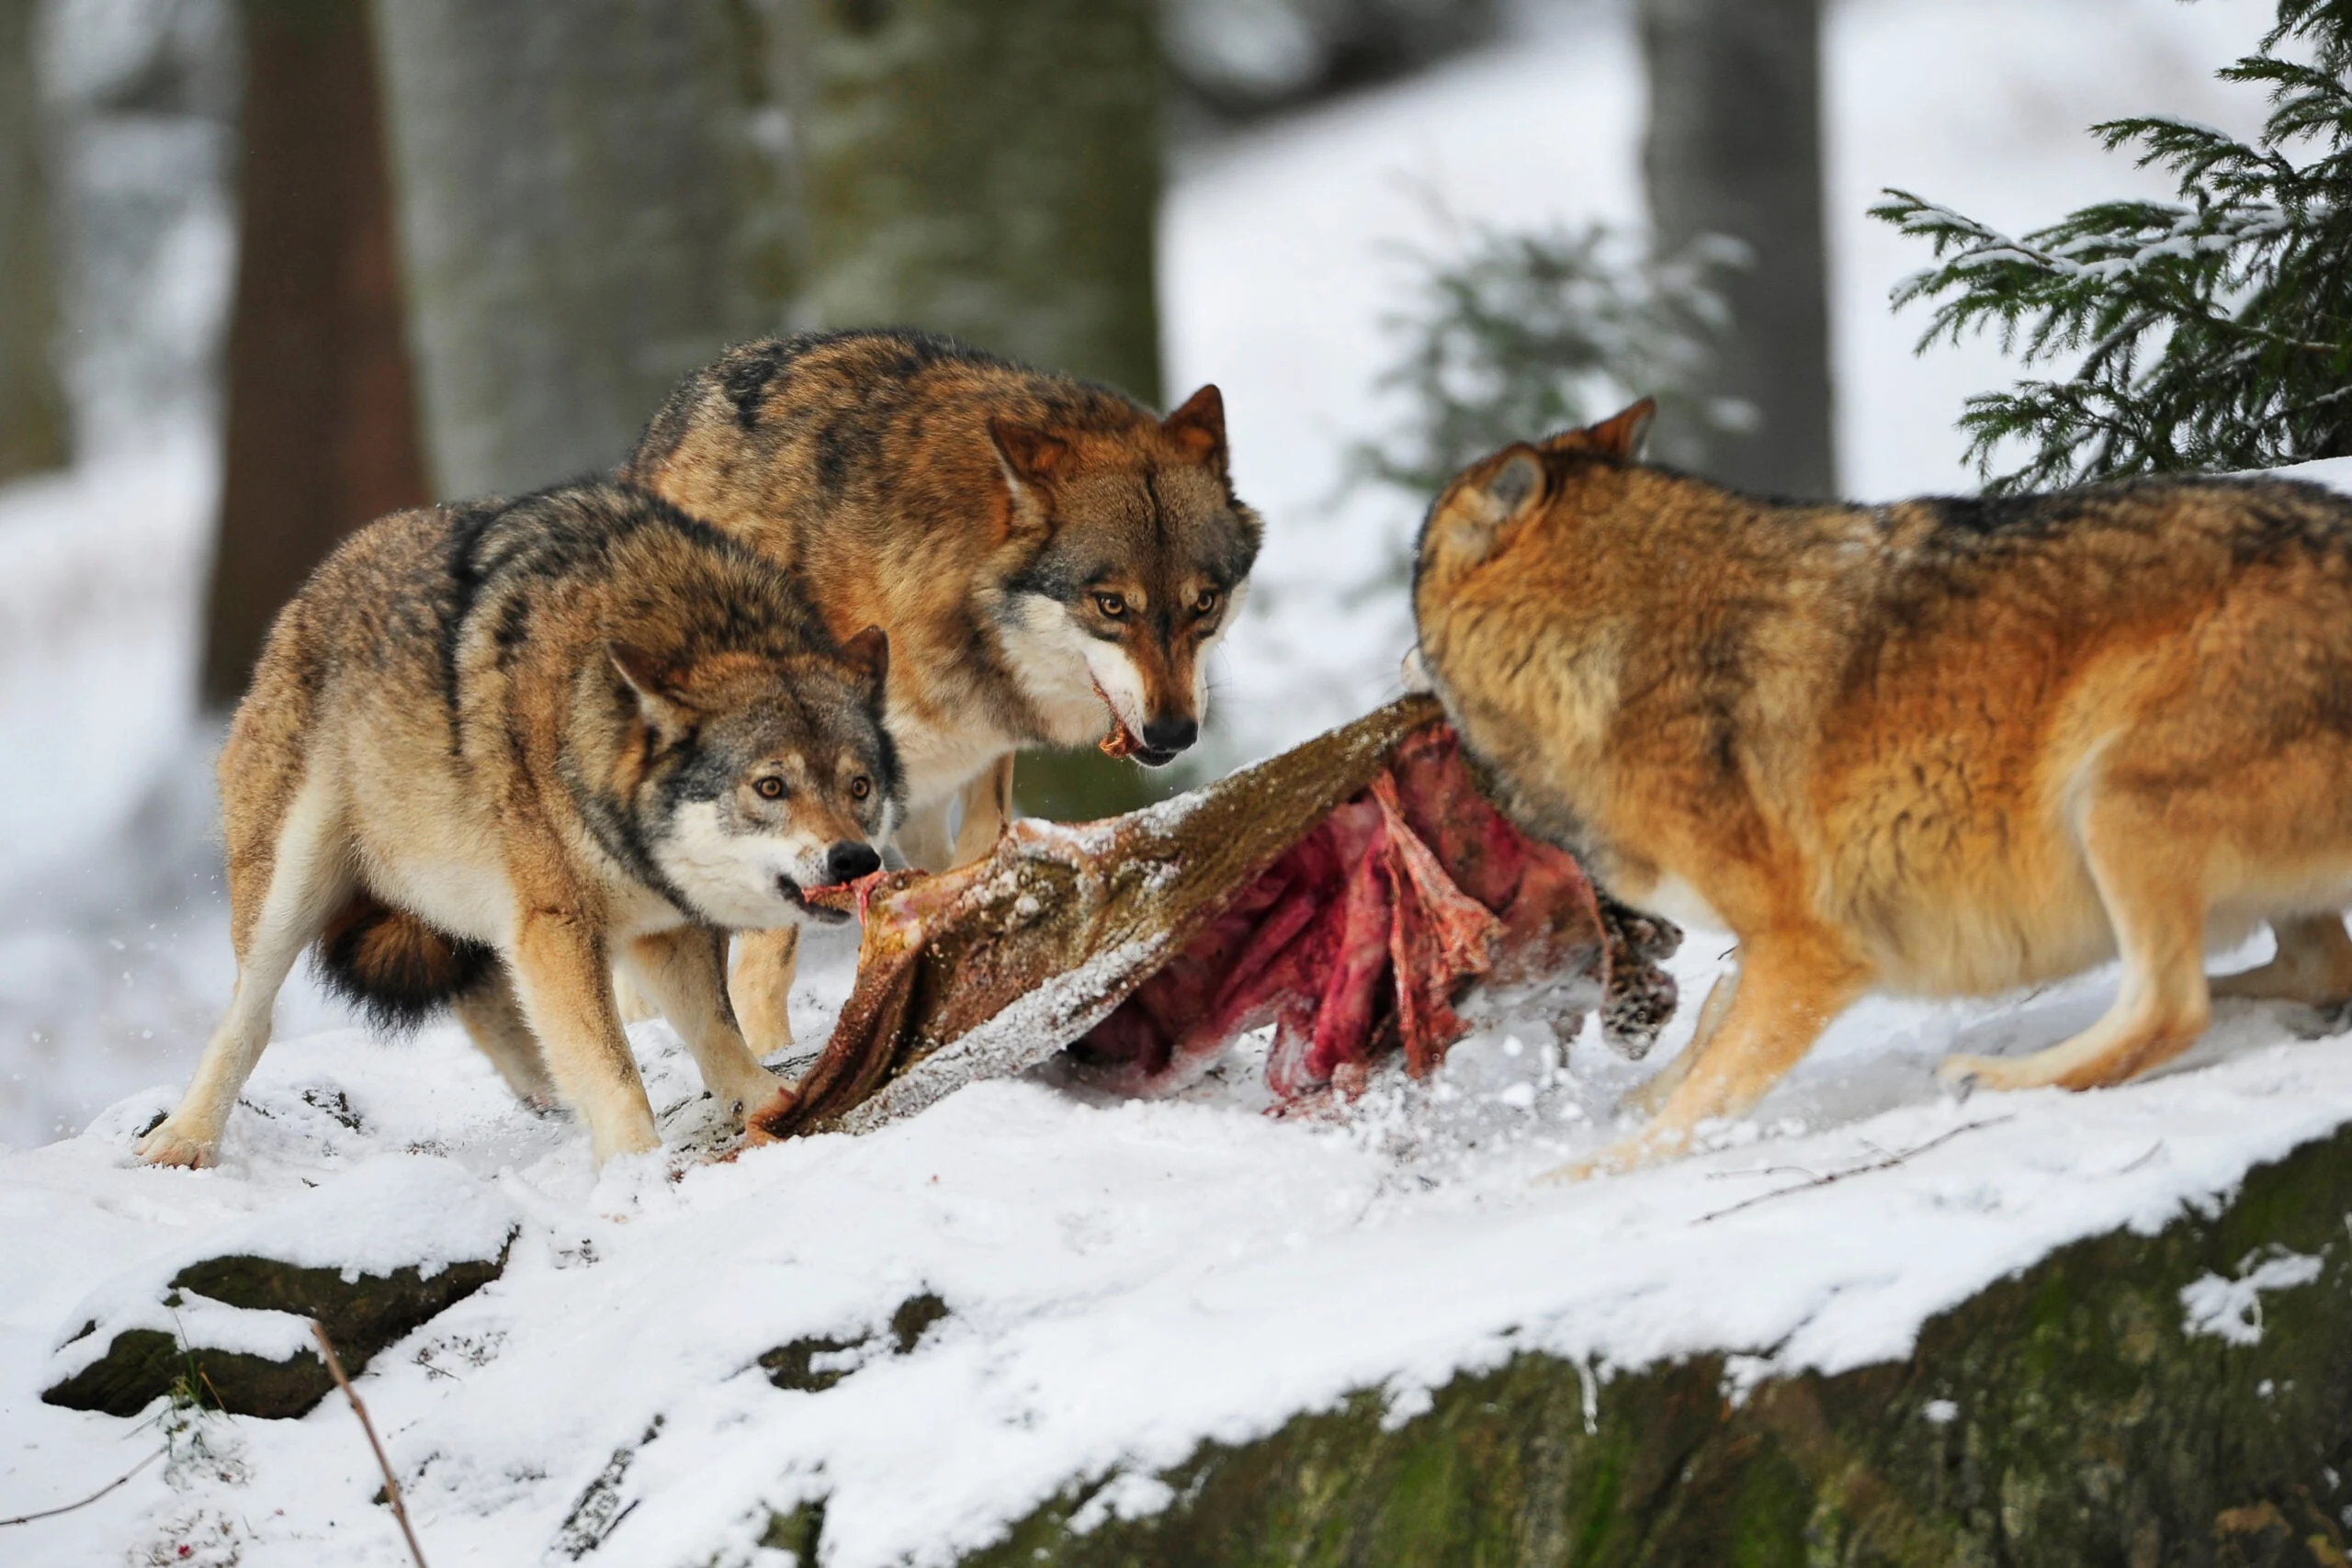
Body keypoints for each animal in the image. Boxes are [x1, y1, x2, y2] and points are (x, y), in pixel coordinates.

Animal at [140, 484, 898, 1170]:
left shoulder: (660, 924)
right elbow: (616, 1072)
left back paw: (547, 1094)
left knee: (485, 991)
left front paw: (772, 1104)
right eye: (771, 786)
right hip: (292, 891)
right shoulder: (557, 923)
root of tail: (315, 583)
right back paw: (185, 1138)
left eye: (859, 786)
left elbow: (718, 1030)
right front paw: (636, 1172)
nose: (854, 860)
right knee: (251, 1015)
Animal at [616, 329, 1261, 1053]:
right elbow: (762, 969)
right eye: (1112, 604)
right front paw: (775, 1055)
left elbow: (979, 855)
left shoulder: (981, 754)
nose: (1175, 731)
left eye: (1204, 602)